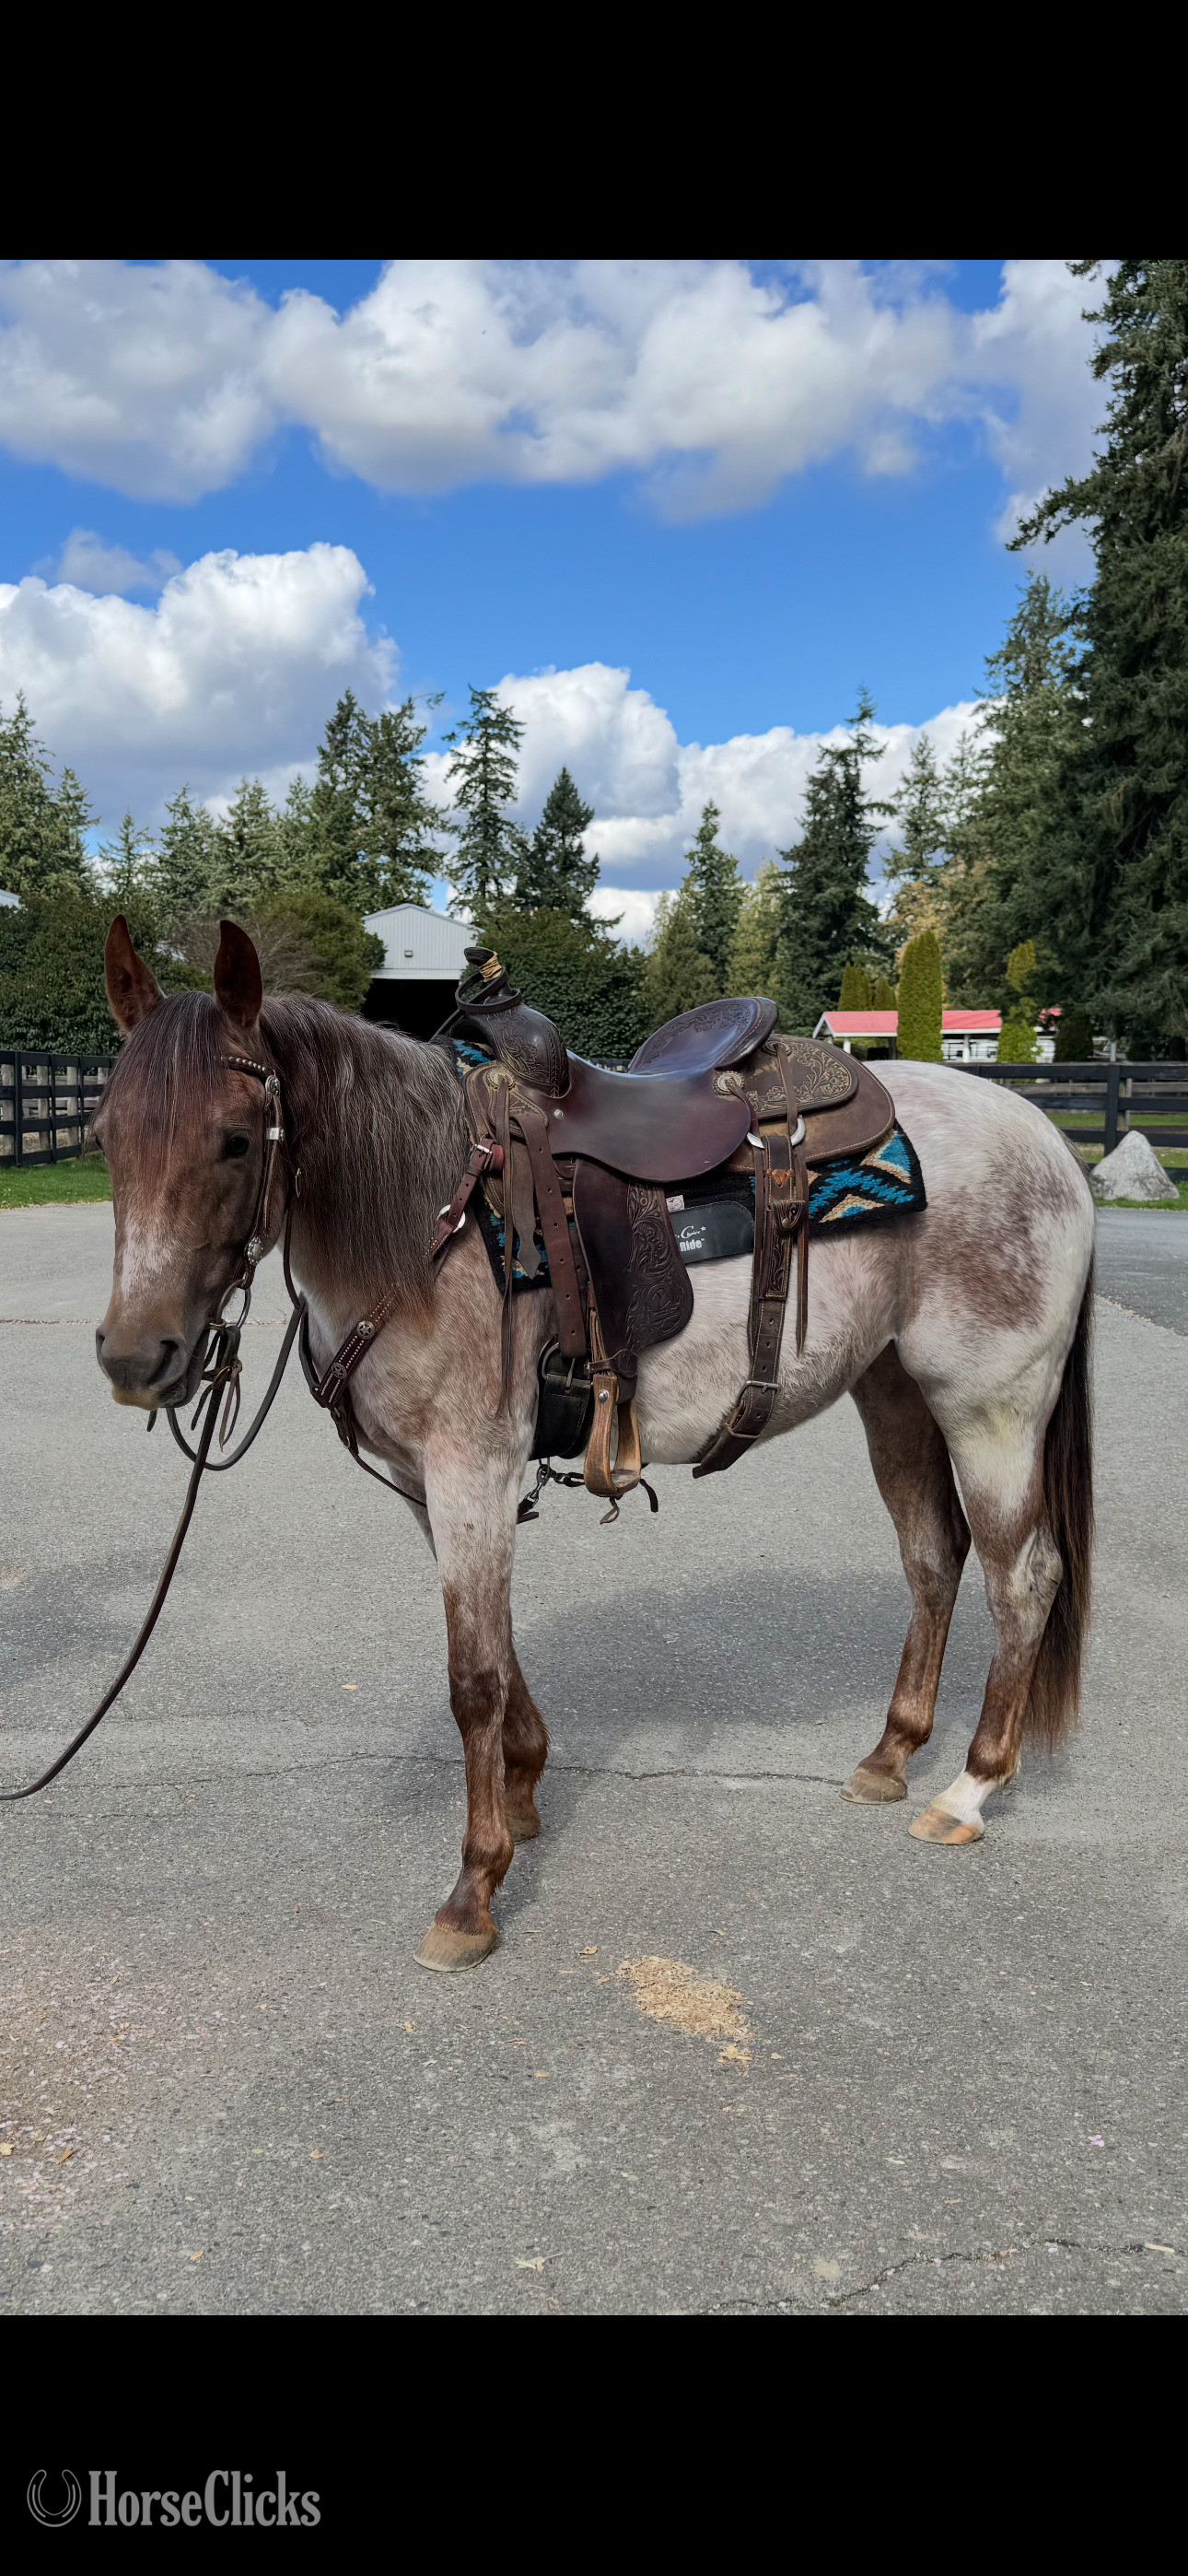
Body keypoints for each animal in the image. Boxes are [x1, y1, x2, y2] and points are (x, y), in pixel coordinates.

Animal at [92, 917, 1095, 1972]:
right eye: (105, 1135)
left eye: (236, 1140)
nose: (135, 1356)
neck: (425, 1219)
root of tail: (1043, 1137)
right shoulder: (432, 1485)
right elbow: (498, 1650)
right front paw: (525, 1793)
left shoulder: (471, 1469)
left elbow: (474, 1679)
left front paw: (473, 1888)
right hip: (894, 1395)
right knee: (932, 1558)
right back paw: (892, 1753)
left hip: (991, 1407)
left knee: (1023, 1574)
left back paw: (970, 1788)